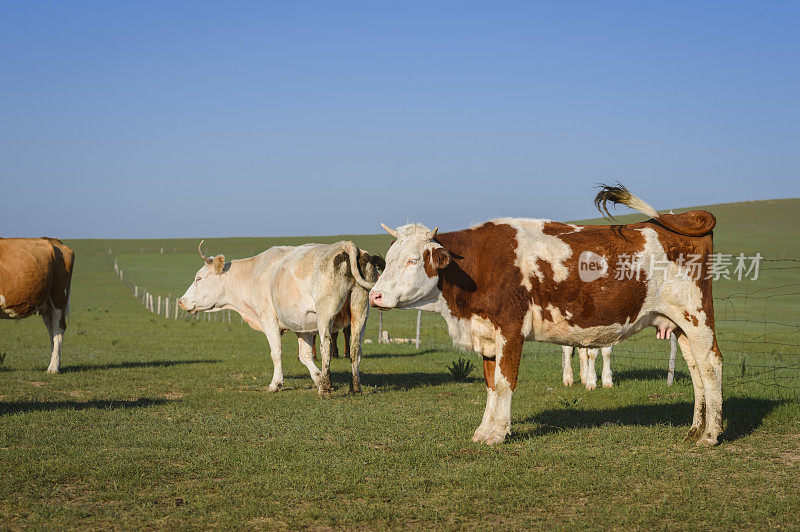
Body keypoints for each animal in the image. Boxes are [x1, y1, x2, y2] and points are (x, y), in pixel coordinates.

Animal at [0, 239, 75, 372]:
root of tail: (55, 240)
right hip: (47, 306)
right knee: (51, 331)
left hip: (59, 296)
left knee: (59, 328)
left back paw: (53, 368)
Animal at [180, 241, 382, 394]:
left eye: (198, 278)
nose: (181, 301)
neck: (254, 274)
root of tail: (345, 245)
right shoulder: (303, 326)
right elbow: (305, 355)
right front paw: (318, 379)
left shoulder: (268, 319)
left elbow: (276, 353)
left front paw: (276, 383)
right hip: (360, 311)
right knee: (355, 349)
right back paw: (355, 388)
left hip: (326, 314)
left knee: (326, 348)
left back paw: (324, 391)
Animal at [368, 185, 724, 446]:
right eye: (388, 257)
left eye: (413, 260)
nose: (375, 295)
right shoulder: (486, 333)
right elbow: (490, 384)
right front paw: (485, 430)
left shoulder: (510, 329)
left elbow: (504, 382)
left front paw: (498, 434)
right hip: (679, 324)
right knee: (696, 369)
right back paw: (694, 430)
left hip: (696, 315)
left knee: (711, 364)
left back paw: (710, 435)